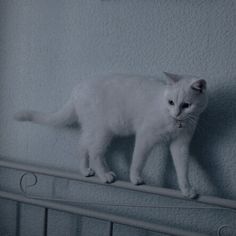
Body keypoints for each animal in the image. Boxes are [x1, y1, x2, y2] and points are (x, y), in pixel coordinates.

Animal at [14, 73, 208, 198]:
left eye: (186, 105)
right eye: (171, 102)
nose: (177, 113)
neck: (173, 121)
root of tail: (77, 89)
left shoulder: (180, 145)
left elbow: (182, 169)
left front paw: (187, 189)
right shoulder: (145, 136)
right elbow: (138, 160)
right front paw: (135, 178)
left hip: (92, 129)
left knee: (83, 146)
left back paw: (86, 170)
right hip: (102, 131)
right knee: (94, 152)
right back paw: (105, 175)